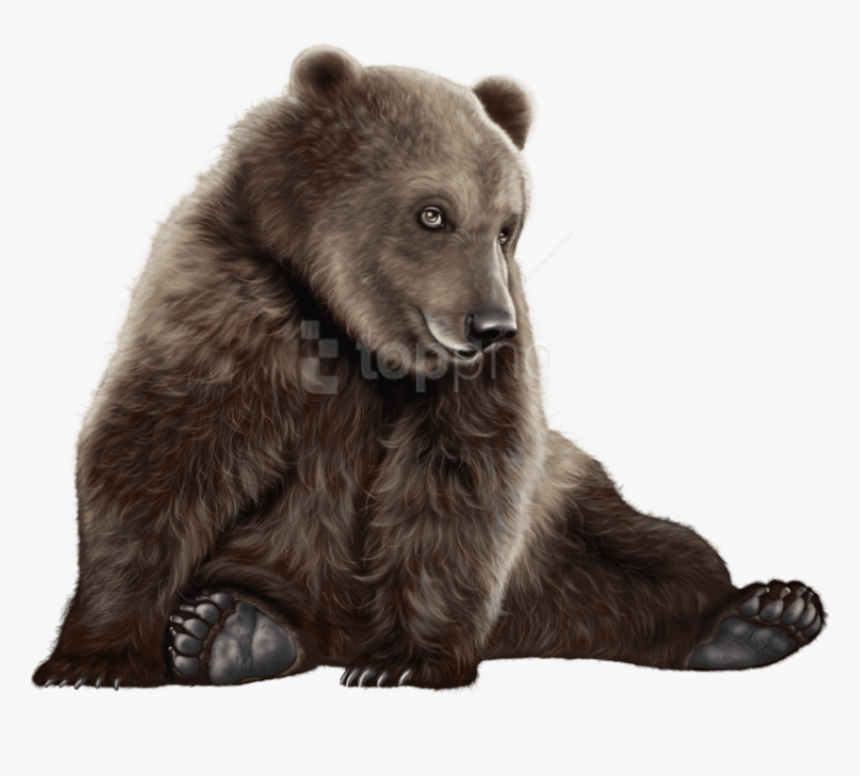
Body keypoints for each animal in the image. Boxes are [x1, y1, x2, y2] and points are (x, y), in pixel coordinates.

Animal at [33, 46, 824, 690]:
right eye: (433, 213)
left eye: (507, 225)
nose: (488, 325)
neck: (353, 328)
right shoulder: (228, 300)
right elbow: (158, 451)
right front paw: (92, 659)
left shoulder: (475, 376)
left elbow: (459, 476)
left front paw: (403, 660)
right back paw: (227, 629)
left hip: (564, 518)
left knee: (656, 555)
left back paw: (762, 617)